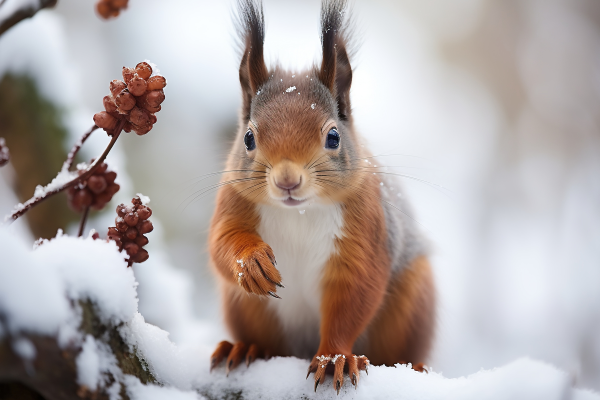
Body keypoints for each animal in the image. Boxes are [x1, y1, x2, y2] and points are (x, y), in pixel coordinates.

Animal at [209, 0, 434, 394]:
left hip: (413, 298)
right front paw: (251, 264)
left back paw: (416, 368)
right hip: (244, 308)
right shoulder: (232, 200)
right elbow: (221, 243)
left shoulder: (366, 226)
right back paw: (245, 347)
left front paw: (334, 358)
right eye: (249, 138)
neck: (299, 213)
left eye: (333, 137)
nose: (287, 180)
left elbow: (354, 295)